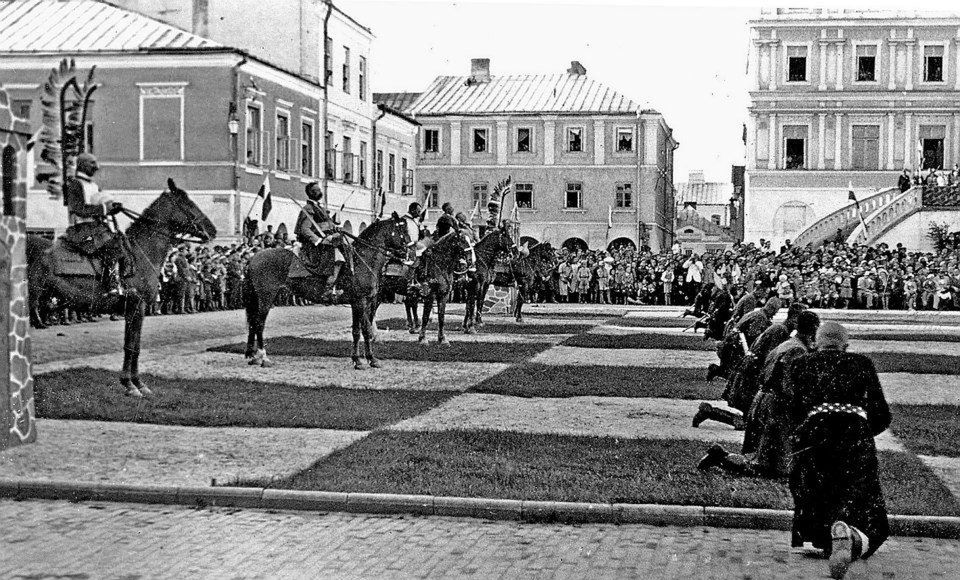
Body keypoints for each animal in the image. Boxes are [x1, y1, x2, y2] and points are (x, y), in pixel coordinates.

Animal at [26, 179, 218, 396]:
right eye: (188, 203)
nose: (212, 231)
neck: (141, 253)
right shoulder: (136, 306)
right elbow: (132, 346)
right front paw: (132, 384)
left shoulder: (132, 309)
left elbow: (134, 345)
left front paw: (136, 383)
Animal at [242, 211, 410, 370]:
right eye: (402, 229)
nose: (408, 253)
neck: (362, 261)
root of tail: (254, 258)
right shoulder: (360, 302)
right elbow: (365, 330)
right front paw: (367, 360)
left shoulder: (361, 304)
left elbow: (357, 331)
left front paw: (362, 360)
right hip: (266, 298)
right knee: (259, 324)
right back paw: (264, 358)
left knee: (253, 324)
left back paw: (253, 357)